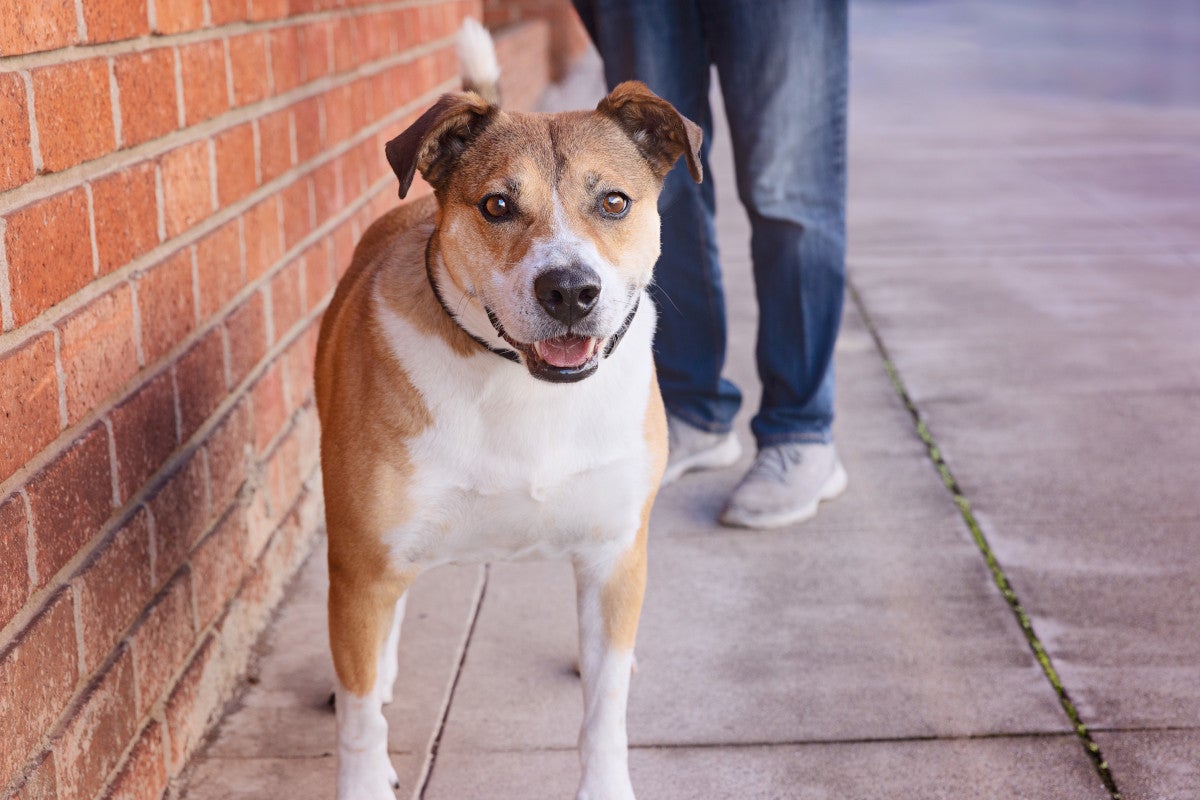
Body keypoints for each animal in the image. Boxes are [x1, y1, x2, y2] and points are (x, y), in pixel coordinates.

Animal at [314, 20, 700, 800]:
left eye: (614, 202)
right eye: (496, 205)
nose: (570, 290)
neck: (523, 384)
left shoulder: (615, 551)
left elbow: (605, 710)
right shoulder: (364, 562)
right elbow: (362, 721)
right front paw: (366, 767)